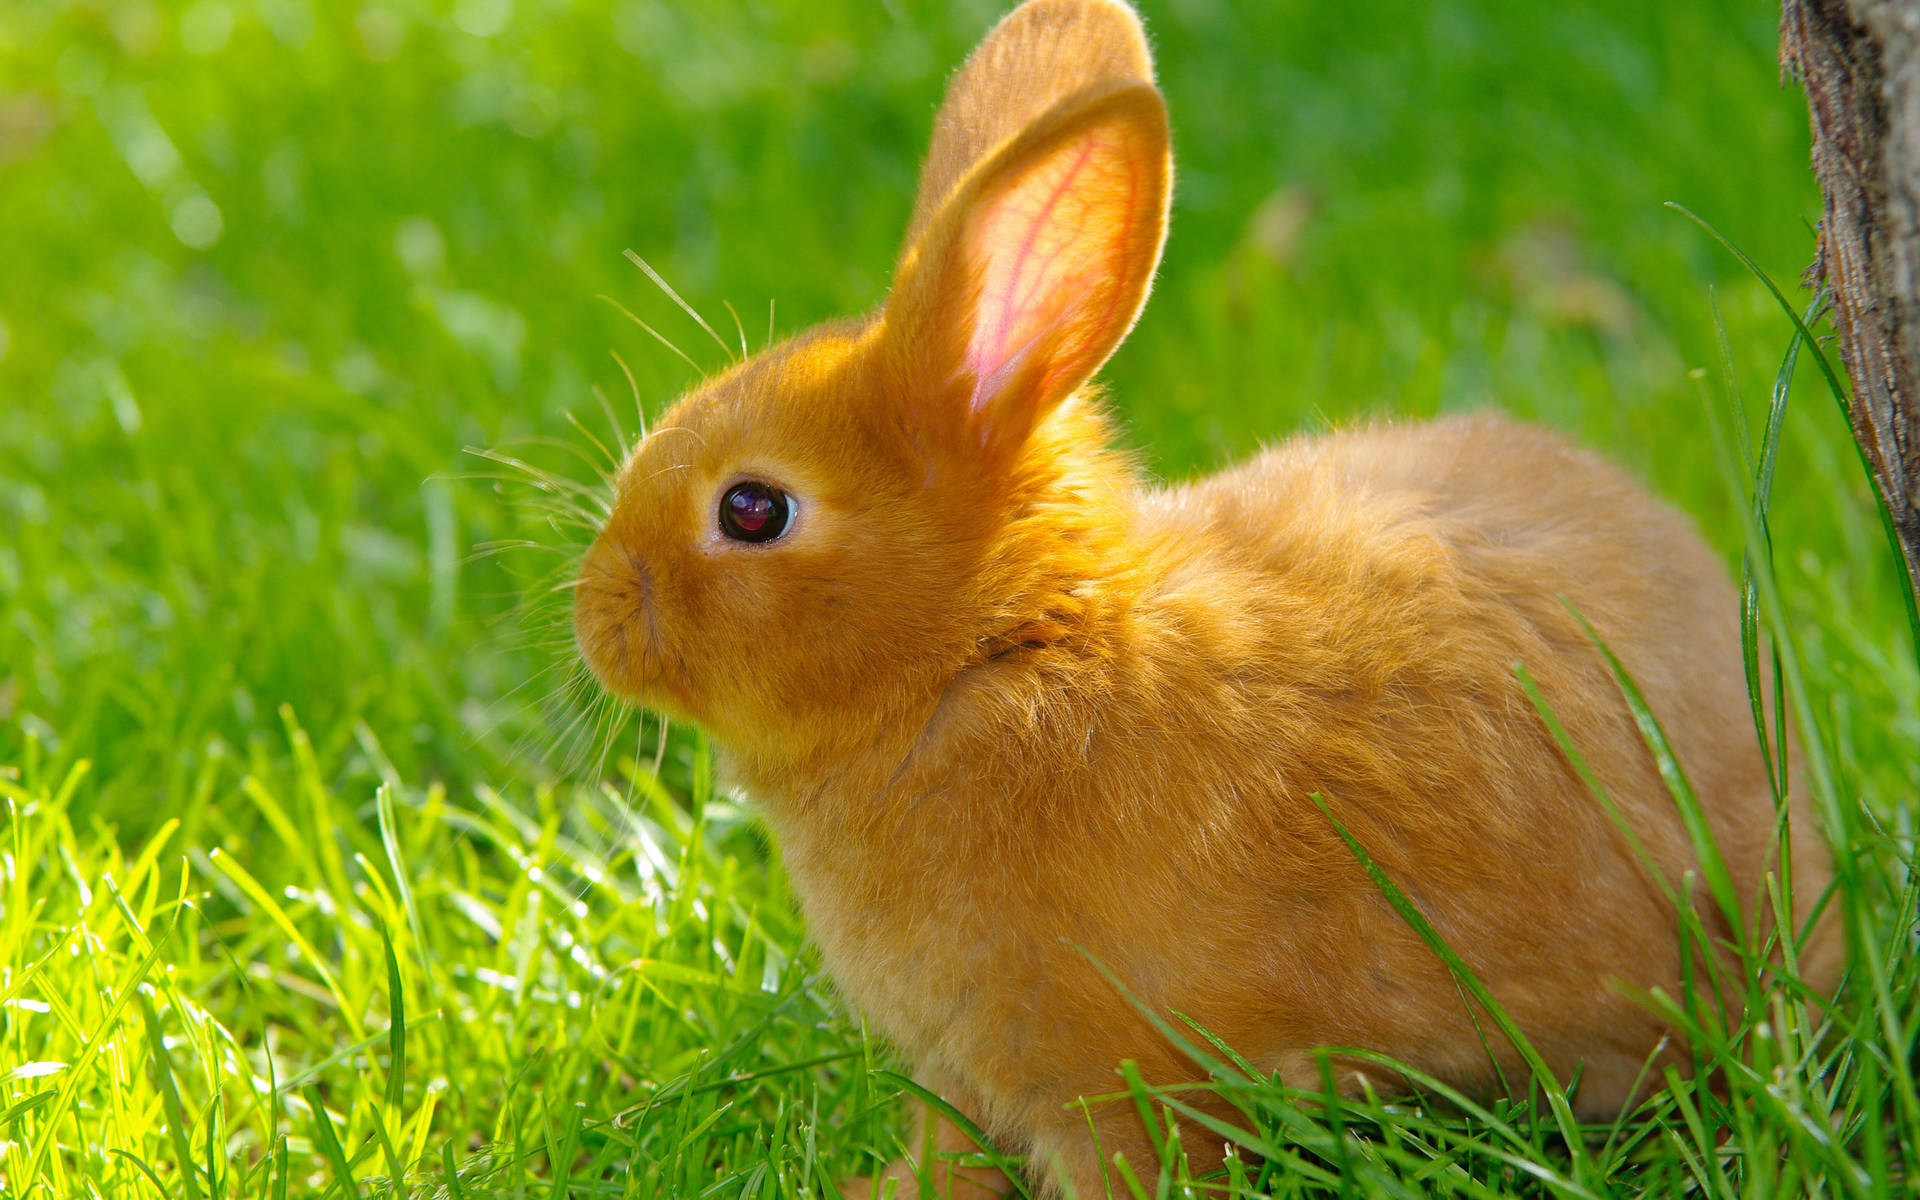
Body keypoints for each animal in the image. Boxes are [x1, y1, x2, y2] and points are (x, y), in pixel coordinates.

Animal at [572, 0, 1843, 1190]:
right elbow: (950, 1150)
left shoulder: (1125, 1087)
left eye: (752, 511)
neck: (993, 653)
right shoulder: (971, 1074)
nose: (595, 617)